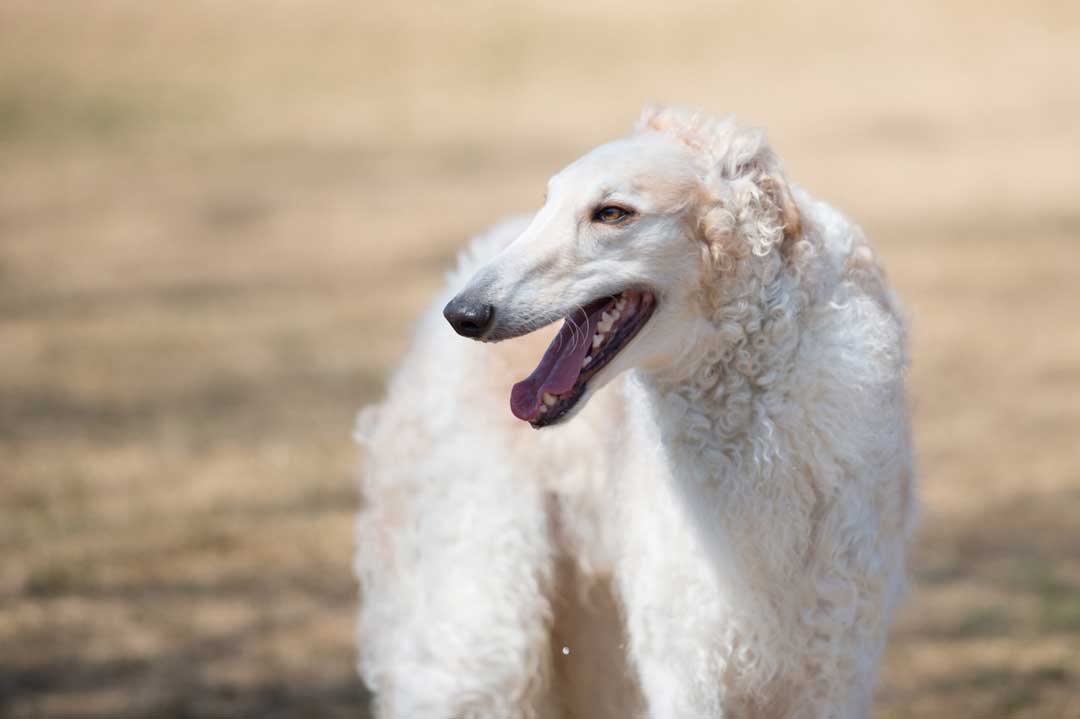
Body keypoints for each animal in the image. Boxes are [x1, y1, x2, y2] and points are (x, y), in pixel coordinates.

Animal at [358, 106, 915, 716]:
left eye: (612, 213)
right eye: (548, 201)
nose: (463, 314)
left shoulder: (833, 663)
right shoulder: (687, 661)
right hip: (479, 622)